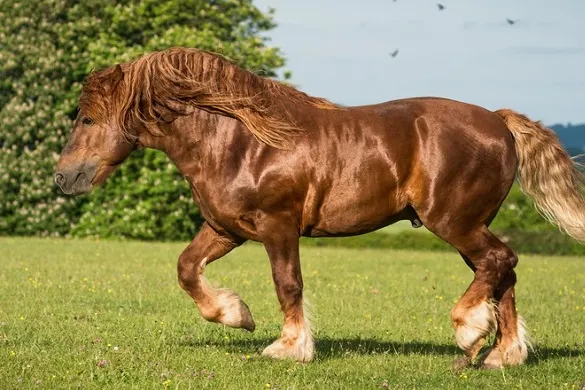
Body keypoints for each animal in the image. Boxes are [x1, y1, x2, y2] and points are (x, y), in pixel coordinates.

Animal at [53, 46, 584, 368]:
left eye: (88, 118)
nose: (63, 177)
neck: (240, 140)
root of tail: (497, 120)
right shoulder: (226, 229)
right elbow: (186, 268)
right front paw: (235, 314)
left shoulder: (278, 227)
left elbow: (288, 284)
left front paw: (289, 346)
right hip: (469, 225)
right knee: (502, 272)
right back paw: (502, 355)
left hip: (454, 221)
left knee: (500, 262)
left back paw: (470, 332)